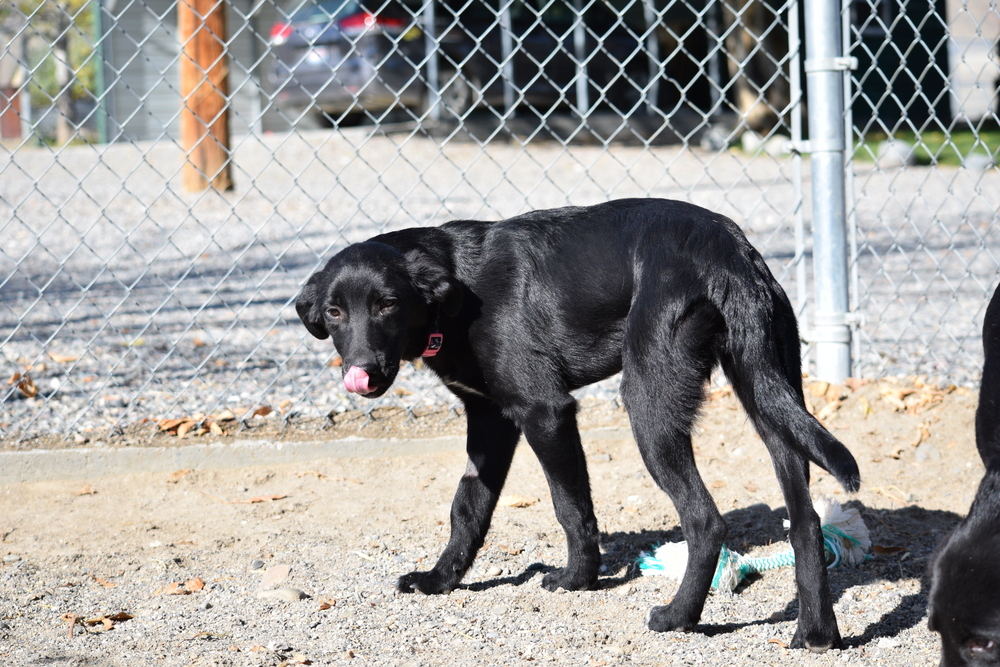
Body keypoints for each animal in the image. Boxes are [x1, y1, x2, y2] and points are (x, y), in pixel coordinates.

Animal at [294, 198, 860, 652]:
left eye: (388, 304)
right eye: (335, 312)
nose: (361, 372)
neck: (451, 293)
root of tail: (731, 251)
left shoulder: (544, 411)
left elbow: (570, 506)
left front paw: (577, 579)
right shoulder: (491, 422)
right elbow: (467, 507)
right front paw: (439, 580)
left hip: (650, 401)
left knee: (705, 519)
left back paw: (678, 617)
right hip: (769, 392)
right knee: (804, 520)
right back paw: (816, 633)